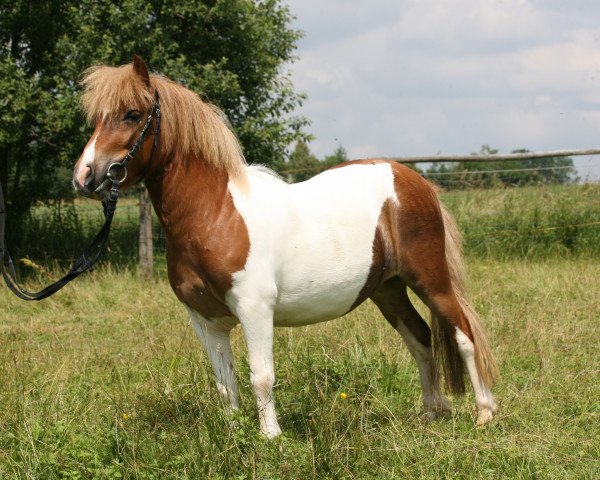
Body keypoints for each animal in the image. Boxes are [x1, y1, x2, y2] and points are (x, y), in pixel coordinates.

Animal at [72, 57, 500, 438]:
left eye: (132, 114)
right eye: (96, 118)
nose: (85, 176)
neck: (215, 214)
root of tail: (415, 181)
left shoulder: (254, 309)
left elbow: (261, 377)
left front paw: (271, 438)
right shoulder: (205, 320)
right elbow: (226, 384)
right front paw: (235, 436)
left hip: (430, 279)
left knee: (463, 334)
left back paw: (484, 413)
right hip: (387, 288)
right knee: (420, 338)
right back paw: (432, 412)